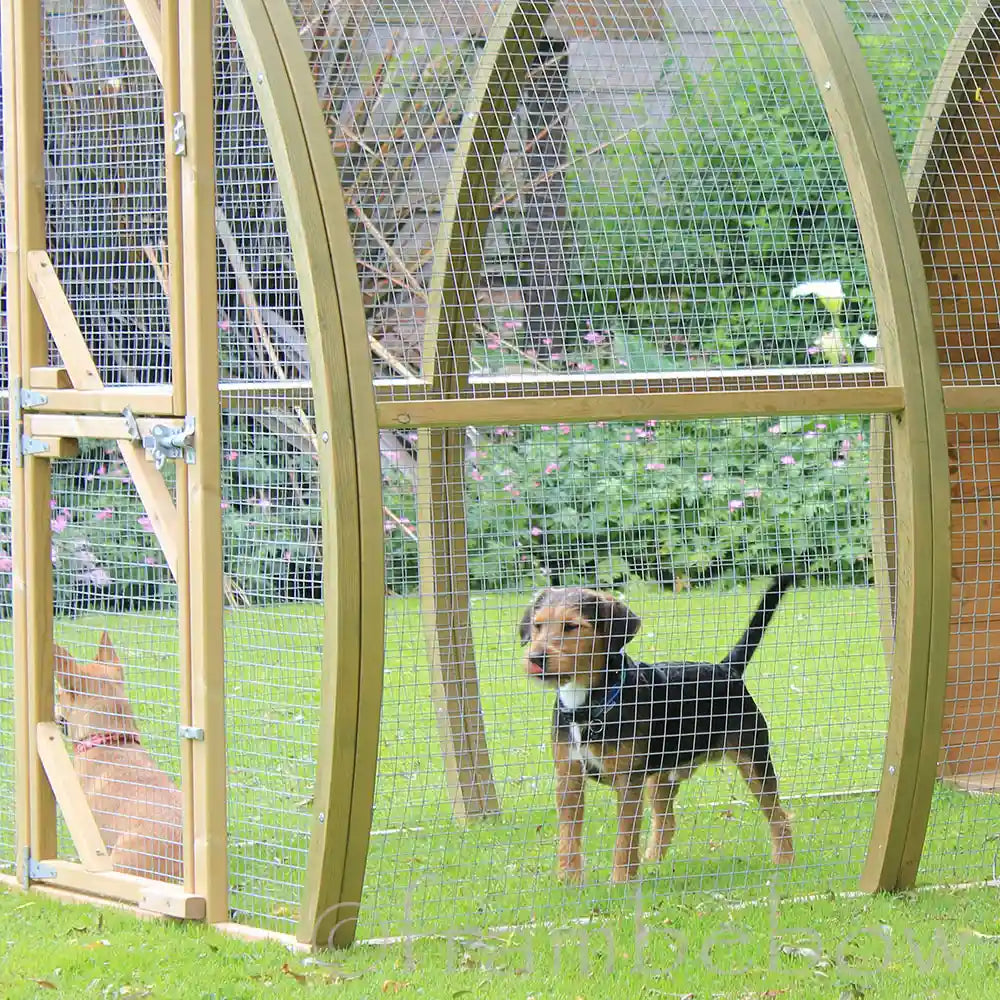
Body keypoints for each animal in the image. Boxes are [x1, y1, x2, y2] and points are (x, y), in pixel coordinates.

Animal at [524, 580, 796, 884]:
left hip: (754, 763)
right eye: (537, 626)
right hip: (661, 778)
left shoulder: (628, 782)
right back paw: (652, 863)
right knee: (666, 823)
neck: (590, 704)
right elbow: (569, 836)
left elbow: (625, 838)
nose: (536, 659)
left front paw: (621, 881)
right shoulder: (569, 777)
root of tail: (727, 668)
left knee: (779, 816)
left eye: (571, 626)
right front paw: (569, 881)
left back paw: (784, 861)